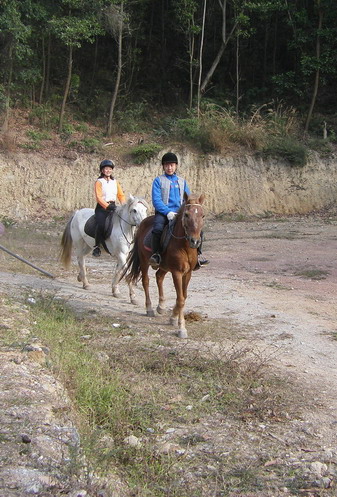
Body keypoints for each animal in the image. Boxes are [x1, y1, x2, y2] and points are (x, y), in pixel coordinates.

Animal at [121, 193, 205, 338]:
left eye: (202, 215)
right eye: (186, 214)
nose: (194, 241)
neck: (185, 246)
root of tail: (142, 223)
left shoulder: (188, 273)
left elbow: (183, 296)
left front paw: (173, 318)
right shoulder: (177, 272)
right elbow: (180, 299)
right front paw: (181, 328)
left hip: (165, 267)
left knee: (159, 276)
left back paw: (161, 306)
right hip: (144, 262)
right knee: (146, 281)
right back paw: (149, 309)